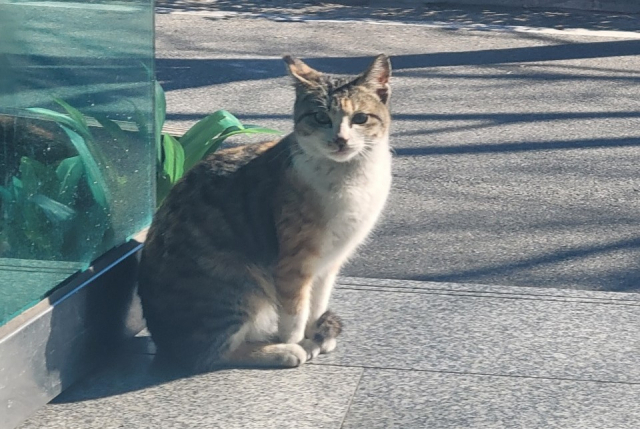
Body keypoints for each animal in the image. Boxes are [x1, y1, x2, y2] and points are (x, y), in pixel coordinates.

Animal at [138, 54, 392, 372]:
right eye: (321, 118)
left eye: (360, 118)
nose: (341, 140)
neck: (350, 179)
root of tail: (162, 343)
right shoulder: (294, 263)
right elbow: (295, 314)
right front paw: (298, 342)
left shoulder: (330, 261)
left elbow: (317, 304)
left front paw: (316, 333)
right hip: (237, 282)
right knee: (209, 355)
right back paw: (279, 351)